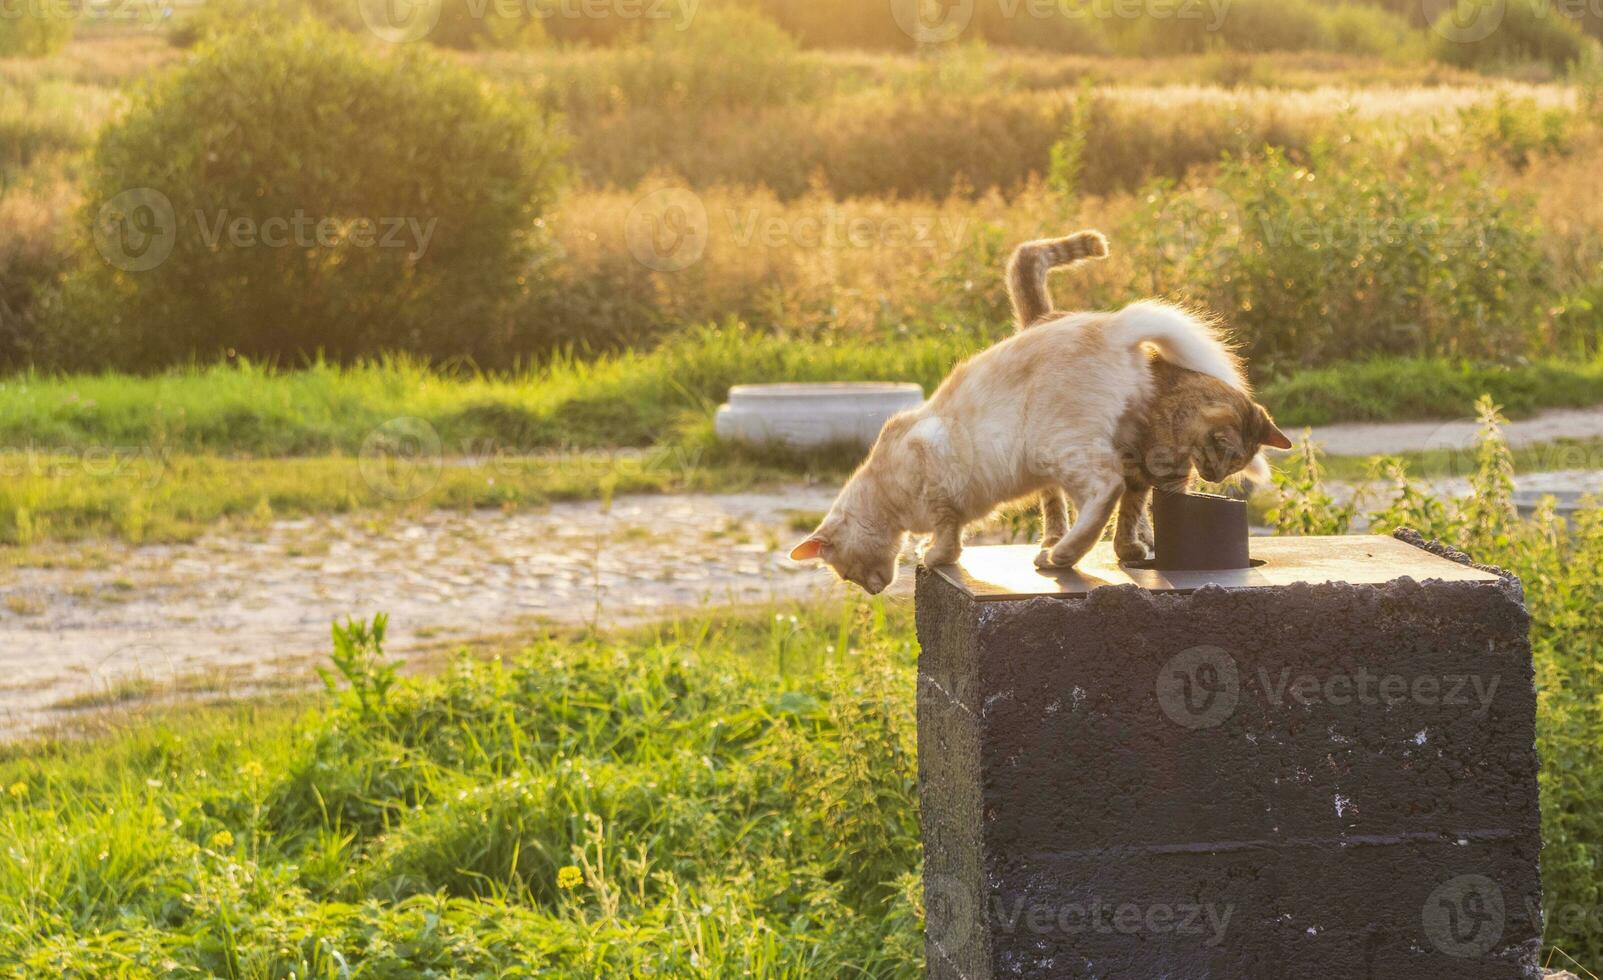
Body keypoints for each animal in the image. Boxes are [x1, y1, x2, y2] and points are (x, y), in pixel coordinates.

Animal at [788, 298, 1288, 590]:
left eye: (846, 572)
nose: (871, 590)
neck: (884, 494)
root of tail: (1111, 325)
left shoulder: (942, 498)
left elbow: (948, 537)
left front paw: (933, 557)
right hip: (1119, 449)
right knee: (1124, 497)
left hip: (1060, 449)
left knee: (1105, 491)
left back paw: (1059, 555)